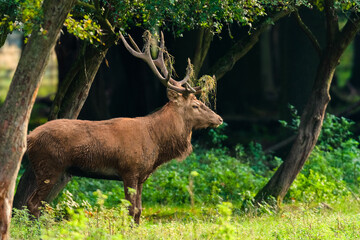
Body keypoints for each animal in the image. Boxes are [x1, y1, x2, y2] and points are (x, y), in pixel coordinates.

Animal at [19, 31, 224, 224]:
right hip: (49, 165)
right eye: (195, 105)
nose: (219, 118)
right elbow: (131, 209)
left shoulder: (142, 176)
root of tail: (29, 137)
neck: (156, 142)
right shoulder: (129, 170)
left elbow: (140, 210)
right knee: (32, 202)